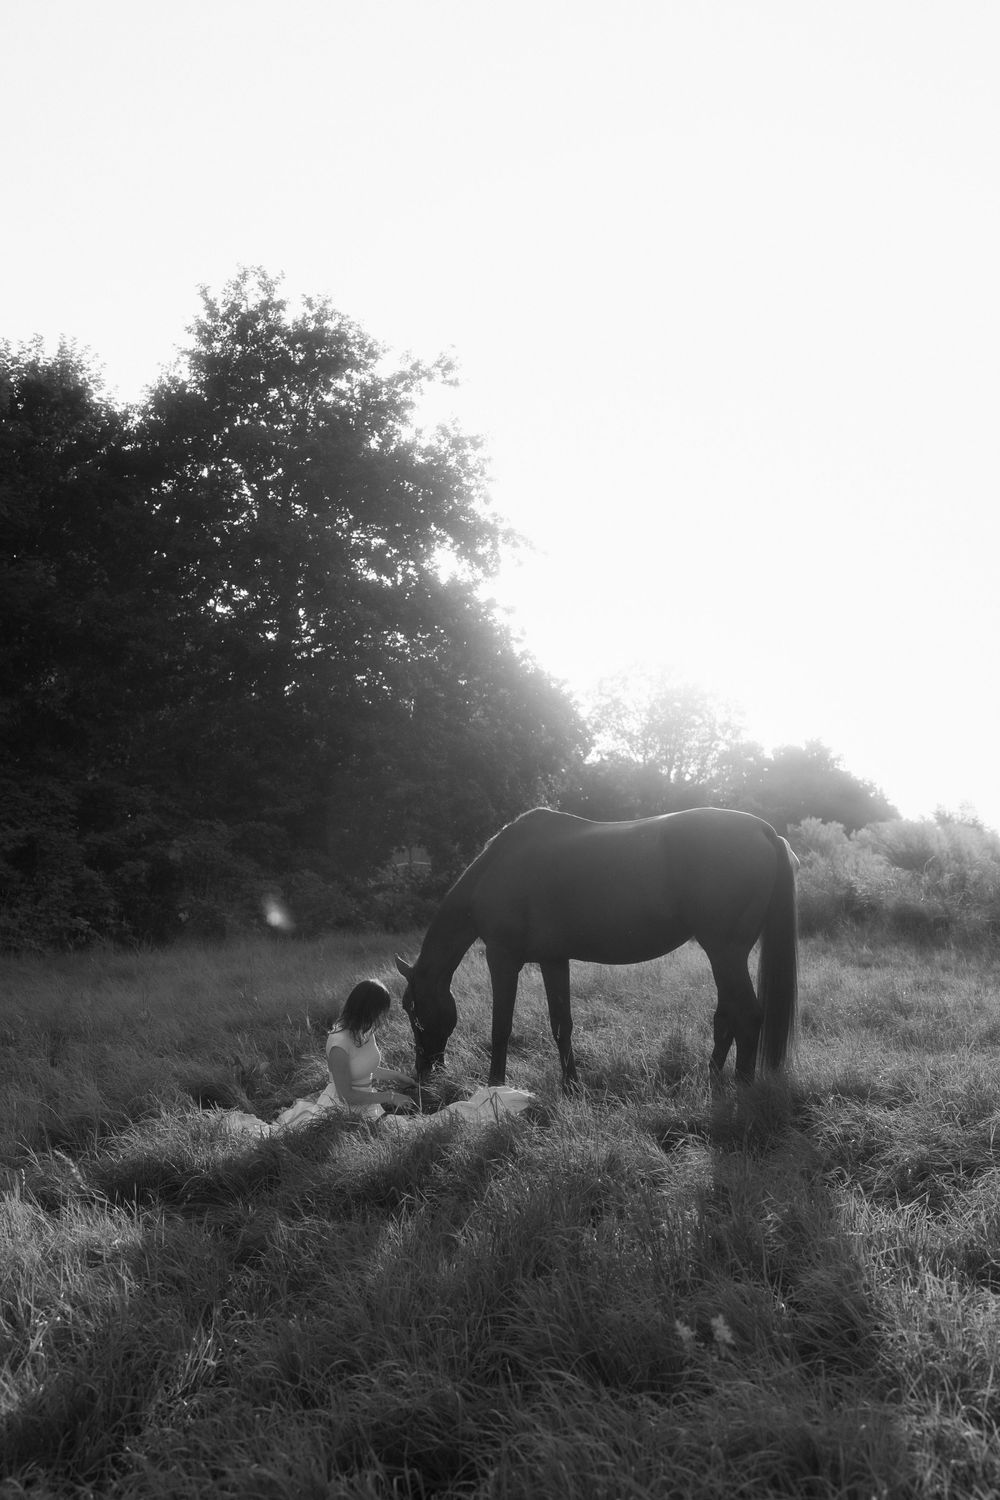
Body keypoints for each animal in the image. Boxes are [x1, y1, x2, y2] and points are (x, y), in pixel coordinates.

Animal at [395, 805, 798, 1090]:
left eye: (414, 1010)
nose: (424, 1072)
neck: (495, 868)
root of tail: (765, 831)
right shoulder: (553, 960)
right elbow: (562, 1025)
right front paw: (571, 1086)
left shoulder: (503, 959)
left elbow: (501, 1027)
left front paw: (495, 1088)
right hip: (724, 956)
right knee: (726, 1017)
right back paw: (711, 1079)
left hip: (726, 953)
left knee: (748, 1016)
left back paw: (740, 1090)